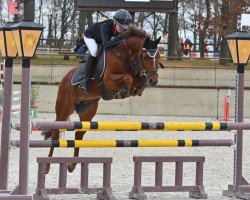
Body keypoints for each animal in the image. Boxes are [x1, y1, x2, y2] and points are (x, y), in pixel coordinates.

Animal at [42, 26, 164, 173]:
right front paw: (122, 92)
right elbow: (127, 78)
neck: (124, 55)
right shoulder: (108, 81)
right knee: (56, 134)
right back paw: (47, 166)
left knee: (78, 135)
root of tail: (65, 78)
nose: (154, 81)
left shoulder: (136, 74)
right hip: (64, 109)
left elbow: (138, 80)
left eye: (158, 56)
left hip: (87, 112)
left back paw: (71, 165)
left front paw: (135, 90)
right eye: (145, 56)